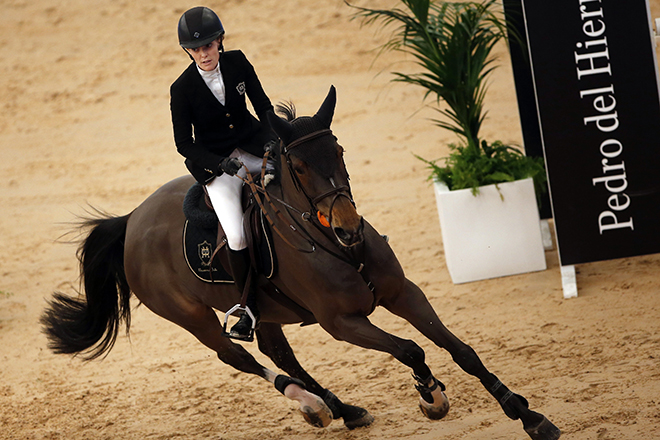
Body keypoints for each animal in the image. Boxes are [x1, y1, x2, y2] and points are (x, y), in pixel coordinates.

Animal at [41, 86, 560, 439]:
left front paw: (528, 415)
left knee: (277, 351)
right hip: (191, 317)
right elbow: (411, 349)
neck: (339, 247)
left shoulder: (402, 293)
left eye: (340, 151)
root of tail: (132, 221)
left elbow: (460, 349)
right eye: (301, 167)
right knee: (239, 357)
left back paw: (343, 409)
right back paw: (308, 402)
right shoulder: (342, 322)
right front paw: (432, 396)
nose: (349, 229)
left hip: (263, 308)